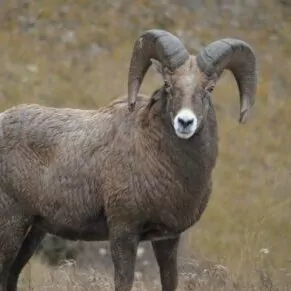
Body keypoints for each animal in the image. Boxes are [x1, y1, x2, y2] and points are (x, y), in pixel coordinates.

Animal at [0, 28, 258, 291]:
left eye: (210, 88)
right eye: (168, 84)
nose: (185, 122)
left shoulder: (168, 239)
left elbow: (170, 281)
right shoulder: (124, 233)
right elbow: (124, 282)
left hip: (34, 231)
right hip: (12, 224)